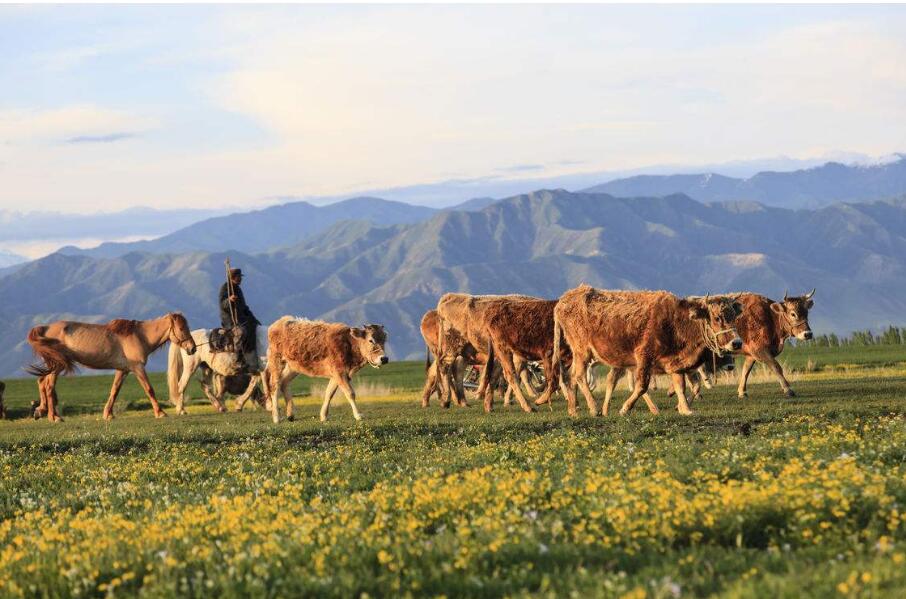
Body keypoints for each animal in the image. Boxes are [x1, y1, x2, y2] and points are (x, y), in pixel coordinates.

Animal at [556, 288, 740, 420]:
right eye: (717, 318)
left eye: (734, 317)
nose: (737, 342)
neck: (676, 322)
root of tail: (564, 299)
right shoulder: (644, 357)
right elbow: (642, 386)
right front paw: (625, 409)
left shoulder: (675, 363)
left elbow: (681, 386)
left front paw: (686, 409)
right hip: (582, 352)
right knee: (579, 376)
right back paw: (594, 409)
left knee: (571, 377)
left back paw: (573, 410)